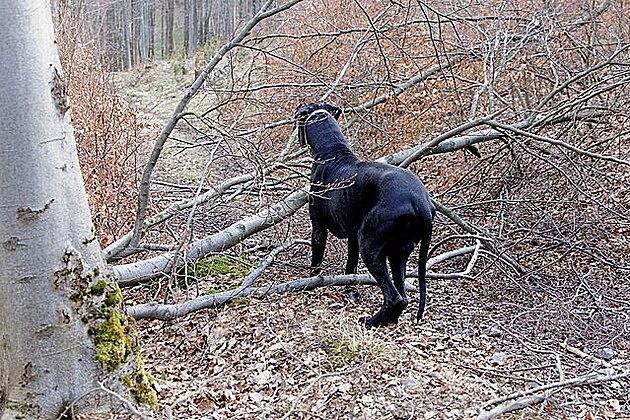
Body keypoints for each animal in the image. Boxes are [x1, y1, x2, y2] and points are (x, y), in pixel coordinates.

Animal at [296, 103, 434, 326]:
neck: (332, 150)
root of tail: (420, 202)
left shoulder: (318, 228)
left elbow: (316, 261)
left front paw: (309, 284)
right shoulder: (353, 236)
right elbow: (350, 267)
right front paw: (350, 291)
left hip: (370, 246)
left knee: (394, 296)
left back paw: (370, 322)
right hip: (398, 252)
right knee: (402, 296)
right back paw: (386, 320)